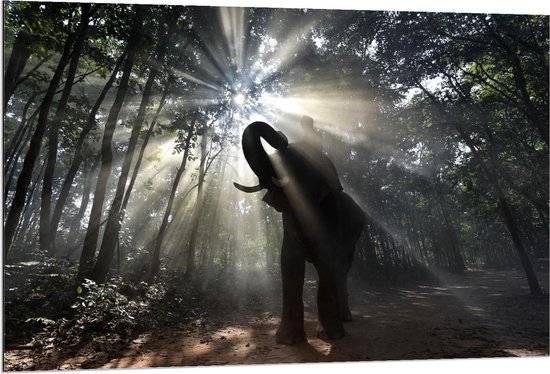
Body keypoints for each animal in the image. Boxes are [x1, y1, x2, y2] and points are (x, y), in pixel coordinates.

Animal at [234, 121, 366, 344]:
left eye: (294, 161)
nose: (281, 135)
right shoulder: (290, 221)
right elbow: (289, 260)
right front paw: (288, 341)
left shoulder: (333, 215)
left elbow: (328, 257)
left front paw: (331, 336)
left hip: (353, 242)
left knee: (342, 269)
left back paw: (345, 318)